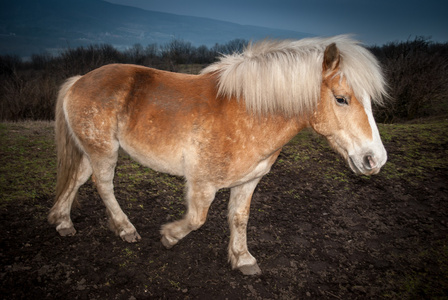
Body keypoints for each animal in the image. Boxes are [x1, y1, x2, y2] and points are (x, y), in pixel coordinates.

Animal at [47, 34, 386, 274]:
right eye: (341, 99)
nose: (375, 159)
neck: (249, 113)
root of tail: (79, 80)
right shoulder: (202, 184)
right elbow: (197, 219)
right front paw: (169, 236)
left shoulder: (249, 181)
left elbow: (239, 218)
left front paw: (243, 259)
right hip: (104, 151)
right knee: (103, 185)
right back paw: (124, 228)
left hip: (92, 150)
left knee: (78, 179)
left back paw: (62, 221)